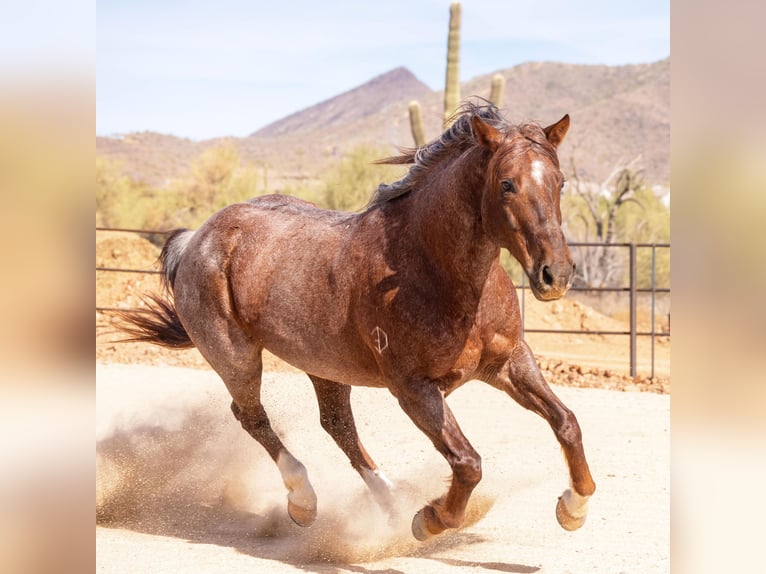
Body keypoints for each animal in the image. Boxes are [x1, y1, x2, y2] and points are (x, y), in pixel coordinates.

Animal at [121, 102, 600, 540]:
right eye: (507, 184)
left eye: (559, 182)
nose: (555, 274)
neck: (428, 267)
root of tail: (196, 239)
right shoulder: (413, 388)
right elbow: (468, 463)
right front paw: (430, 519)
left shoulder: (509, 362)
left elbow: (567, 423)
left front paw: (573, 508)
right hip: (236, 358)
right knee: (252, 417)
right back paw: (305, 502)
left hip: (324, 366)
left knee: (337, 426)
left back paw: (389, 501)